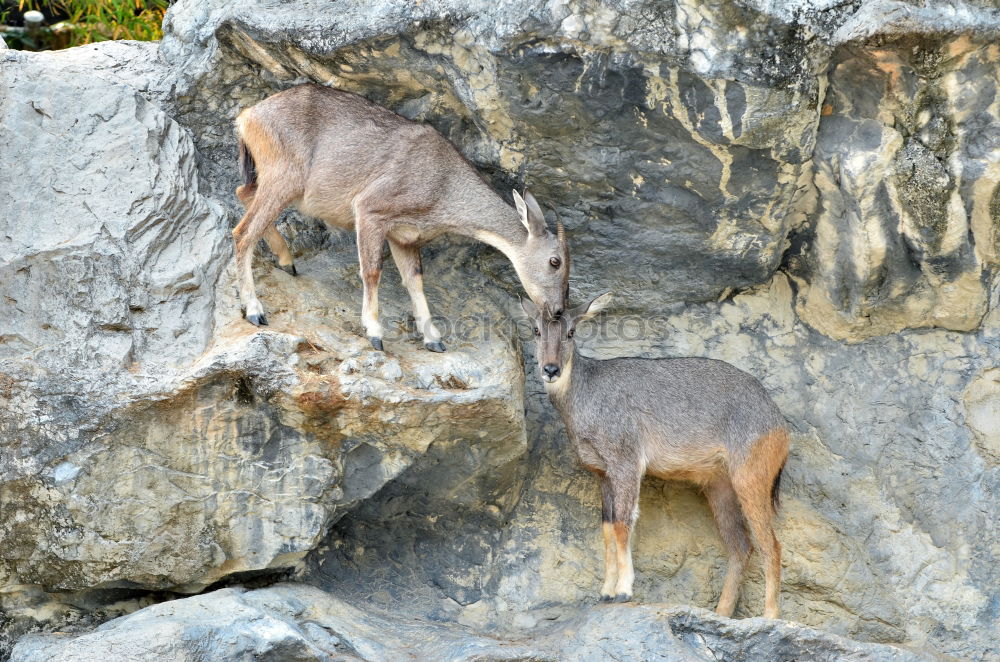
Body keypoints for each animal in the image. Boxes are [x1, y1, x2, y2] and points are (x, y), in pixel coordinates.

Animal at [229, 84, 568, 352]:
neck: (443, 186)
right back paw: (255, 310)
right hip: (284, 177)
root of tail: (247, 117)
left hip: (275, 180)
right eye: (556, 261)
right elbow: (372, 271)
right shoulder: (370, 210)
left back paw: (286, 260)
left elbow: (415, 280)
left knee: (242, 193)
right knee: (242, 231)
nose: (558, 311)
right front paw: (375, 333)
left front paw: (434, 338)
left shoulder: (403, 237)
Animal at [524, 294, 788, 620]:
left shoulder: (626, 461)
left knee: (770, 545)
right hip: (720, 487)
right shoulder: (603, 473)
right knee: (741, 546)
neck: (585, 395)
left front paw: (623, 591)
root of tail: (777, 421)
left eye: (571, 332)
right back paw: (722, 612)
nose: (551, 369)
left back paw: (770, 615)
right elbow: (607, 527)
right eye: (535, 330)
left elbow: (623, 522)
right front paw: (606, 593)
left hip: (750, 476)